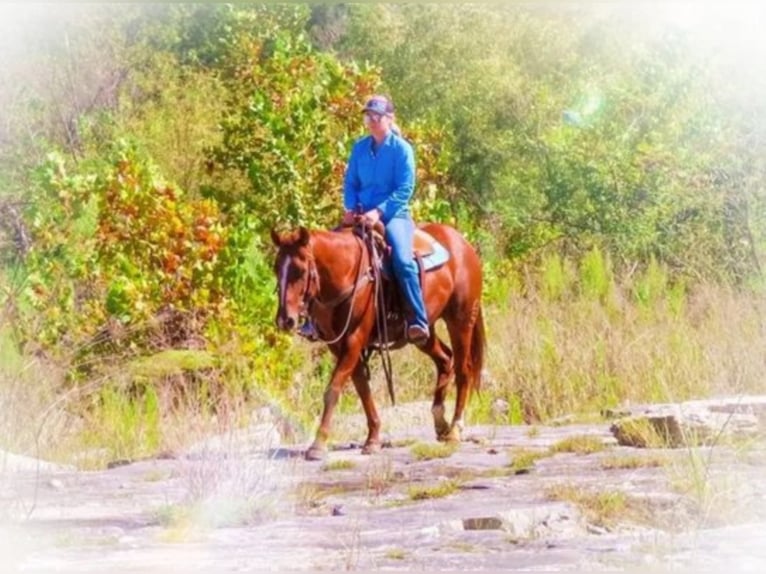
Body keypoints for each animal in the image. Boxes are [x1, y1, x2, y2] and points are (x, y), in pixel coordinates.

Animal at [272, 223, 486, 462]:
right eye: (276, 268)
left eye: (300, 271)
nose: (285, 320)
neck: (346, 273)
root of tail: (463, 243)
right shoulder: (339, 346)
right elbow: (363, 389)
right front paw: (373, 438)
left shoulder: (354, 340)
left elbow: (333, 389)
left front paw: (318, 444)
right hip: (423, 333)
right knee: (445, 360)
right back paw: (441, 424)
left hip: (461, 321)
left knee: (463, 370)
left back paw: (455, 430)